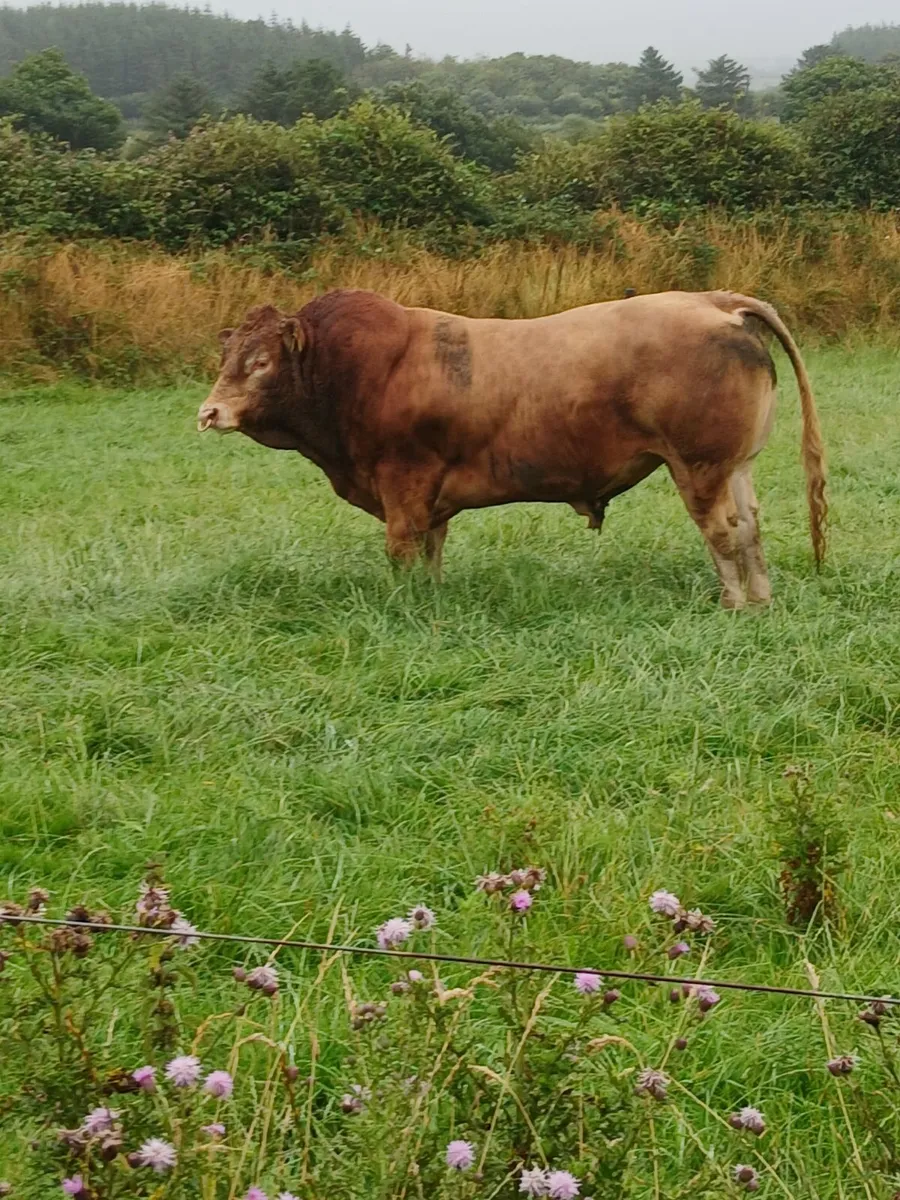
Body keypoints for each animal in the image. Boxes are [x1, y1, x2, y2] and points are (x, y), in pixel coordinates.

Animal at [197, 288, 826, 609]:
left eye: (261, 362)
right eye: (227, 357)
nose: (209, 412)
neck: (359, 372)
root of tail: (713, 301)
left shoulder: (402, 485)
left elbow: (402, 551)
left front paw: (403, 604)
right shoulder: (430, 498)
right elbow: (433, 549)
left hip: (698, 467)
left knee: (722, 532)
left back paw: (734, 603)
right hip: (735, 466)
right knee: (751, 527)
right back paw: (762, 599)